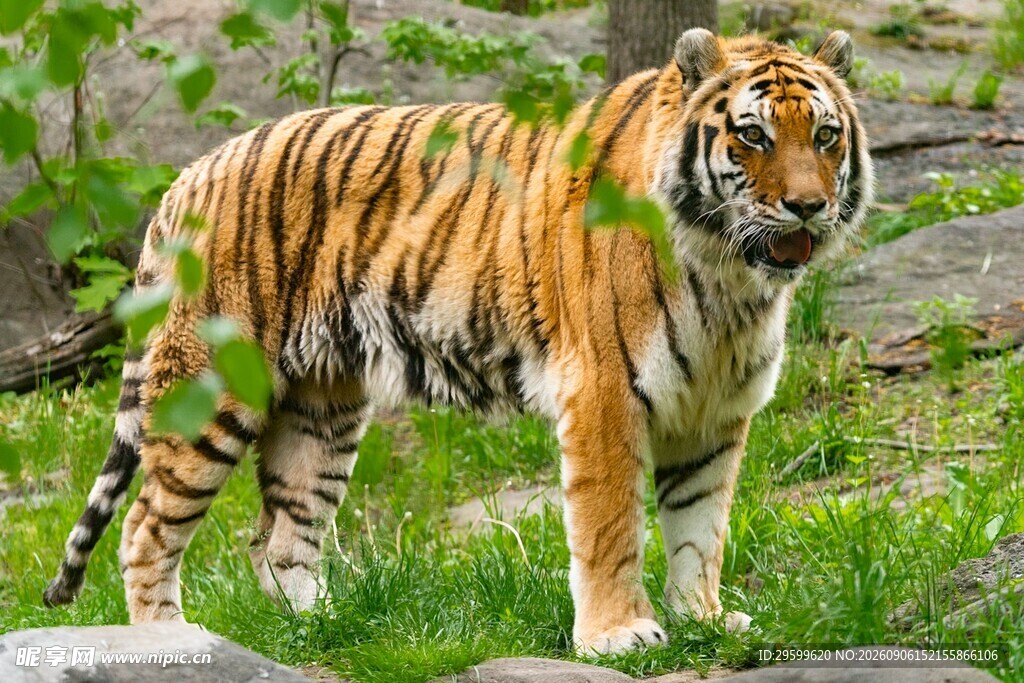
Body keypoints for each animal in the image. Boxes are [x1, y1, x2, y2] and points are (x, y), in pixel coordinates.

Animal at [44, 28, 872, 655]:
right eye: (753, 136)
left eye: (825, 136)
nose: (808, 207)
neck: (728, 273)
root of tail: (190, 174)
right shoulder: (605, 391)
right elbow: (610, 524)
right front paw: (619, 634)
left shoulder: (713, 409)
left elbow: (702, 524)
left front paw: (704, 618)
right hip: (212, 387)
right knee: (146, 527)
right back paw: (171, 640)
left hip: (322, 410)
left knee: (279, 538)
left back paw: (329, 627)